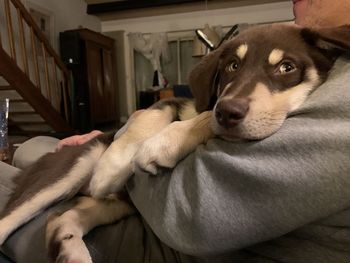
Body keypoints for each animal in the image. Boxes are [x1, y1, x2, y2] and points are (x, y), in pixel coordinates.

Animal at [0, 23, 350, 262]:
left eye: (286, 67)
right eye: (232, 66)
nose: (228, 112)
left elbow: (201, 118)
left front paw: (163, 144)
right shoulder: (173, 104)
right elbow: (153, 115)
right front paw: (112, 167)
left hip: (114, 205)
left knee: (59, 219)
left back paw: (73, 252)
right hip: (66, 171)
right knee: (13, 218)